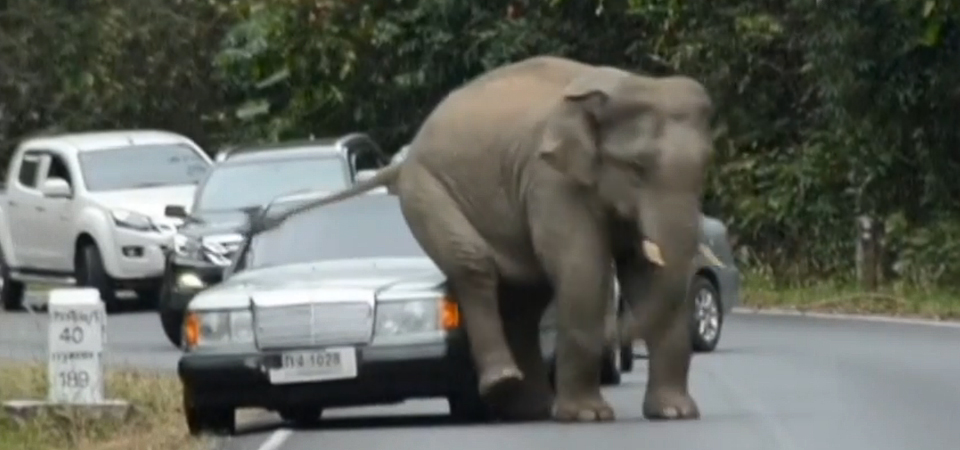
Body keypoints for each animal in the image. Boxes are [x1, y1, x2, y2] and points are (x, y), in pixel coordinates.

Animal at [250, 55, 715, 423]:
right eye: (636, 168)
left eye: (705, 168)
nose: (615, 348)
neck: (622, 84)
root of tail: (403, 160)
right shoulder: (550, 180)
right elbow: (583, 269)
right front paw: (588, 417)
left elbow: (646, 274)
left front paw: (674, 413)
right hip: (429, 192)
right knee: (474, 265)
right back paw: (507, 385)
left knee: (525, 298)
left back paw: (529, 408)